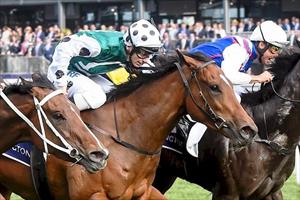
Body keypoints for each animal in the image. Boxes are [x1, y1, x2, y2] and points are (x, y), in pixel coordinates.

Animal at [0, 50, 256, 199]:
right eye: (214, 87)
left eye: (231, 83)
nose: (249, 129)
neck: (126, 139)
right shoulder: (92, 195)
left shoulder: (142, 192)